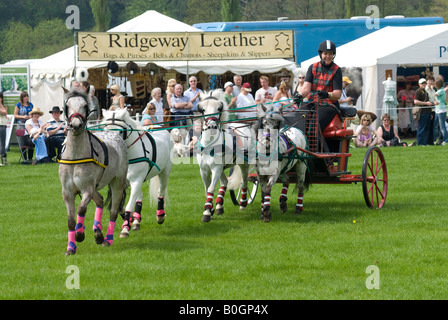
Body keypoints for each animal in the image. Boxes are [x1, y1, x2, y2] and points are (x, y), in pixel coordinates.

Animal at [59, 90, 128, 255]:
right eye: (67, 106)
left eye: (85, 105)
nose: (76, 125)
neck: (75, 156)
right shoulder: (67, 192)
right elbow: (71, 221)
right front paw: (70, 248)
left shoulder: (87, 189)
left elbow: (81, 209)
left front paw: (80, 234)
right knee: (101, 201)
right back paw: (98, 233)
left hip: (117, 182)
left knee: (114, 211)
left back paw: (107, 239)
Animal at [102, 108, 174, 238]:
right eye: (106, 130)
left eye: (120, 131)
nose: (114, 149)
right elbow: (120, 205)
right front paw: (129, 219)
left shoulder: (136, 180)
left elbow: (129, 204)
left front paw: (125, 228)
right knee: (139, 197)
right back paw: (136, 220)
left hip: (164, 172)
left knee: (161, 191)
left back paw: (160, 215)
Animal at [197, 89, 256, 221]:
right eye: (203, 109)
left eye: (219, 108)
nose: (212, 126)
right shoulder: (204, 170)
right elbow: (206, 189)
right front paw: (211, 209)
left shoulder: (216, 168)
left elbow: (211, 188)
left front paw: (207, 213)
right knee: (225, 182)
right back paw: (219, 205)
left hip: (244, 164)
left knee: (244, 181)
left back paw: (243, 203)